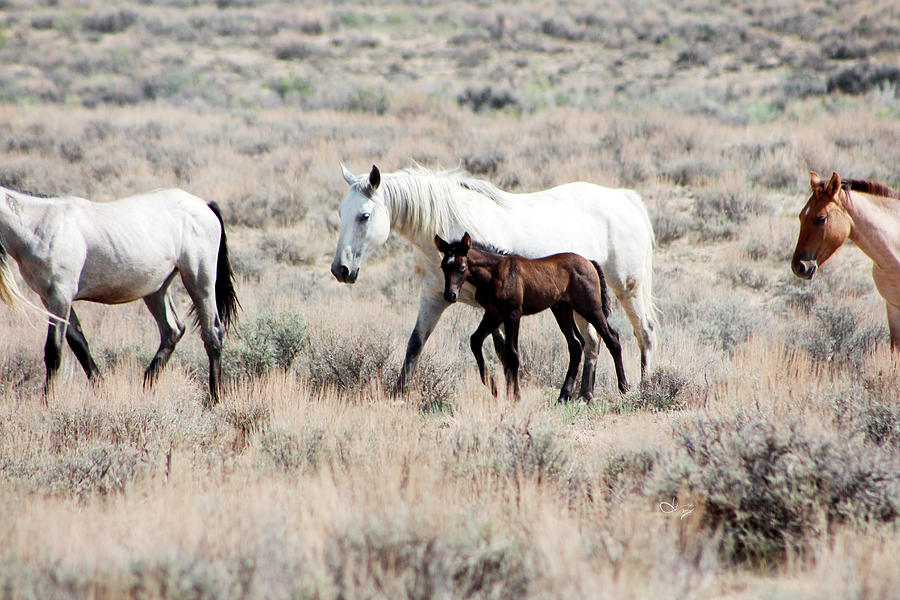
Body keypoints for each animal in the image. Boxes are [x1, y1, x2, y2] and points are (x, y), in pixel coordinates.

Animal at [0, 188, 239, 404]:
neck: (40, 224)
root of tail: (204, 204)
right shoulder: (49, 298)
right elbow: (79, 344)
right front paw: (102, 390)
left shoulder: (60, 295)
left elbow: (53, 352)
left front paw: (47, 402)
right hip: (156, 289)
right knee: (173, 330)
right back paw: (146, 388)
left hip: (200, 281)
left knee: (212, 334)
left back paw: (215, 399)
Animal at [436, 231, 624, 404]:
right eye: (443, 267)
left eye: (461, 267)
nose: (450, 295)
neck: (495, 274)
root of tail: (590, 262)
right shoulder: (493, 313)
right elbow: (476, 340)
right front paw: (494, 388)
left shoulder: (513, 314)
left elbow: (512, 353)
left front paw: (516, 397)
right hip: (562, 309)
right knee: (576, 344)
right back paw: (564, 395)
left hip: (590, 308)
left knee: (611, 338)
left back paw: (624, 389)